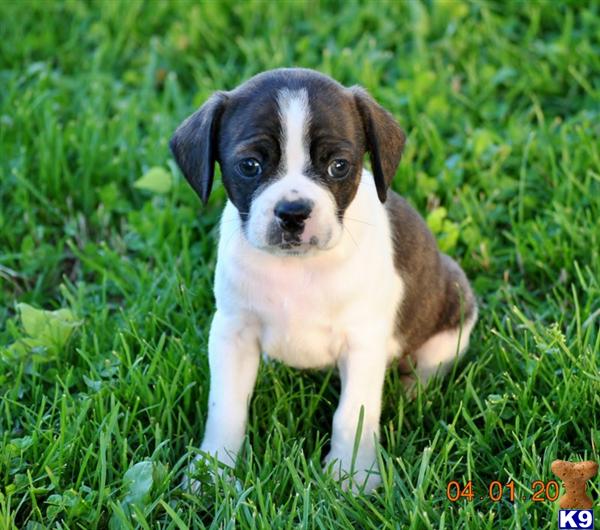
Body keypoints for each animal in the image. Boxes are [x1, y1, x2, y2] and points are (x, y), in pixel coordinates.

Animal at [170, 67, 478, 490]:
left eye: (339, 166)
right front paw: (213, 471)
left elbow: (353, 413)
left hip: (453, 310)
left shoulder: (363, 343)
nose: (293, 212)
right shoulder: (232, 333)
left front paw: (352, 476)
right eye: (249, 166)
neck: (298, 268)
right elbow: (226, 406)